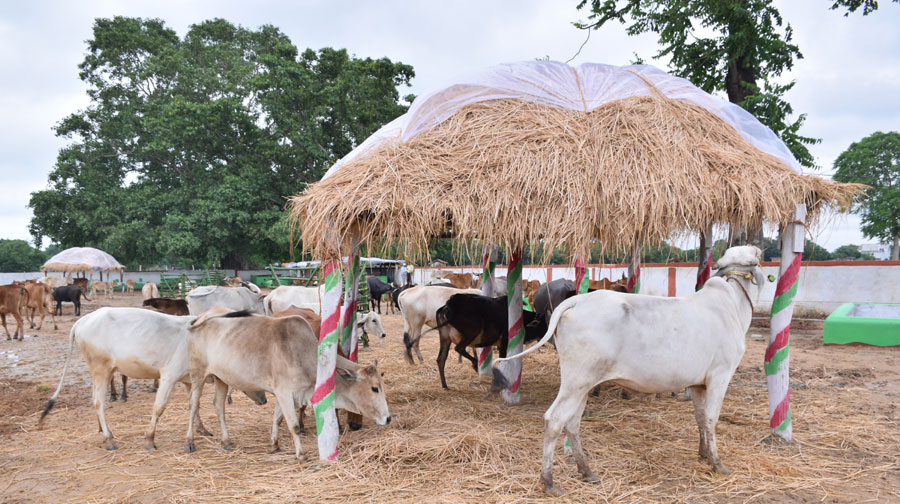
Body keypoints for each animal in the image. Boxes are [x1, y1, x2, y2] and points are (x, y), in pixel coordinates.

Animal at [185, 310, 390, 458]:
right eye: (374, 388)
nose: (388, 418)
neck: (305, 354)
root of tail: (198, 320)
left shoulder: (286, 394)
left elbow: (277, 418)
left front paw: (274, 444)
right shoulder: (284, 392)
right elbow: (294, 425)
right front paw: (301, 455)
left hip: (221, 379)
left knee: (219, 407)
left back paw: (226, 441)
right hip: (198, 375)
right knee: (193, 405)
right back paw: (190, 441)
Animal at [496, 245, 764, 496]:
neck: (733, 306)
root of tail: (576, 300)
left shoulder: (699, 383)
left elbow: (699, 418)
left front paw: (704, 453)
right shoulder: (720, 375)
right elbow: (711, 418)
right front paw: (717, 463)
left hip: (583, 383)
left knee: (572, 422)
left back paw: (586, 470)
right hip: (576, 381)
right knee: (554, 420)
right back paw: (549, 481)